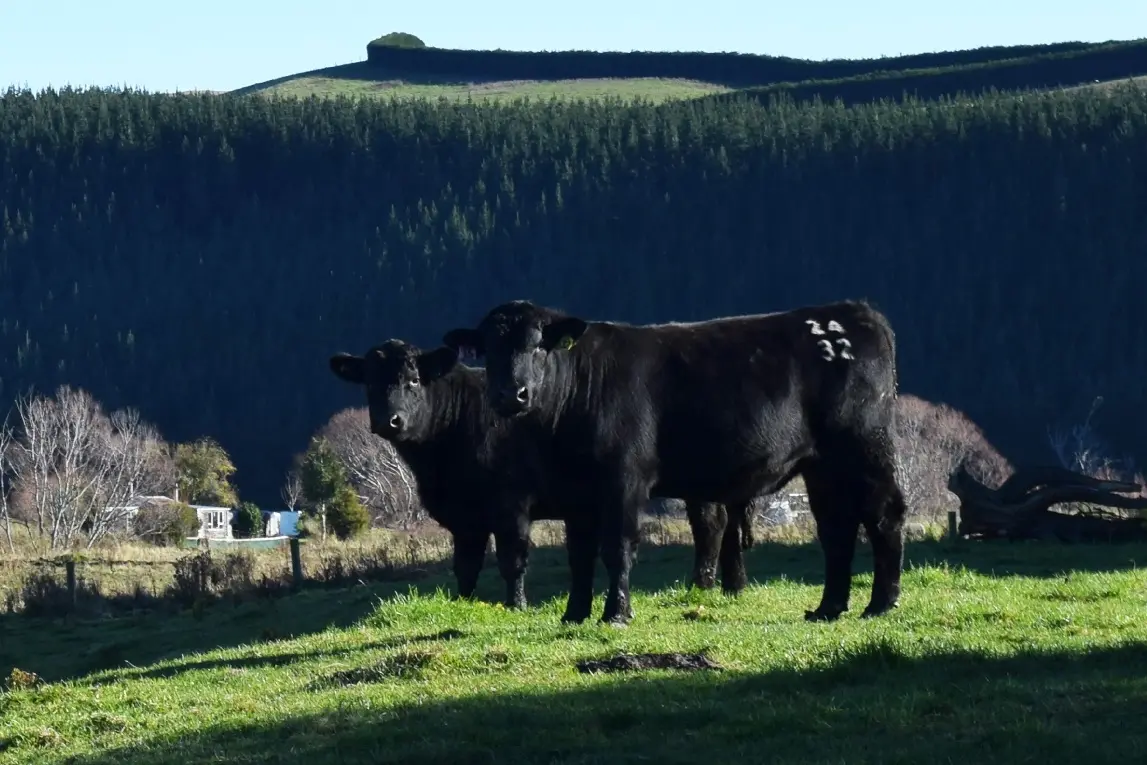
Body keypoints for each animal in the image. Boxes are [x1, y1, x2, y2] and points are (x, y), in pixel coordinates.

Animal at [328, 339, 754, 611]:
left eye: (414, 380)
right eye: (369, 382)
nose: (388, 421)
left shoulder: (511, 502)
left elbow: (512, 558)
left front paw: (515, 606)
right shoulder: (466, 516)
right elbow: (465, 565)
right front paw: (463, 603)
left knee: (710, 525)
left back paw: (700, 584)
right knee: (722, 523)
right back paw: (728, 585)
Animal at [442, 299, 908, 627]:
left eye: (539, 345)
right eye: (487, 350)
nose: (511, 394)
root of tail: (852, 312)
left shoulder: (624, 479)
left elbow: (617, 547)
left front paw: (616, 613)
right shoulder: (577, 491)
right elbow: (580, 554)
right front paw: (574, 614)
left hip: (865, 446)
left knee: (884, 515)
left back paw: (881, 603)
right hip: (823, 466)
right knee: (837, 528)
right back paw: (829, 607)